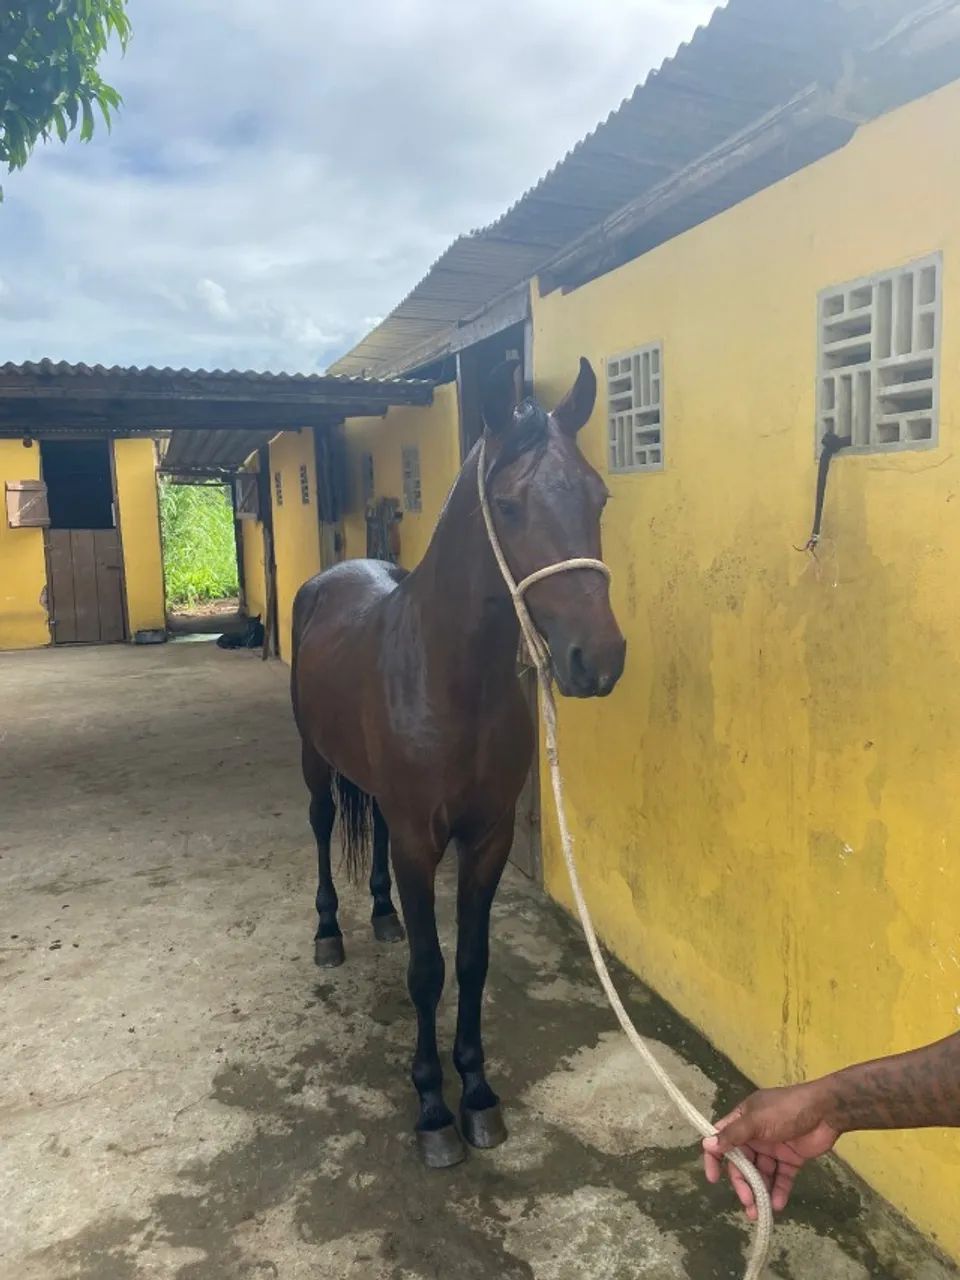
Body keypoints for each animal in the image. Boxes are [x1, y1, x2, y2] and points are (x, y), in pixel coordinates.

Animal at [291, 357, 626, 1168]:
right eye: (507, 505)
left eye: (598, 495)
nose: (598, 661)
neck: (450, 676)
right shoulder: (422, 843)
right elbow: (428, 970)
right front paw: (434, 1109)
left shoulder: (488, 837)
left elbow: (472, 962)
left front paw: (477, 1093)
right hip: (315, 762)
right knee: (321, 826)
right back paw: (329, 932)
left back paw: (381, 915)